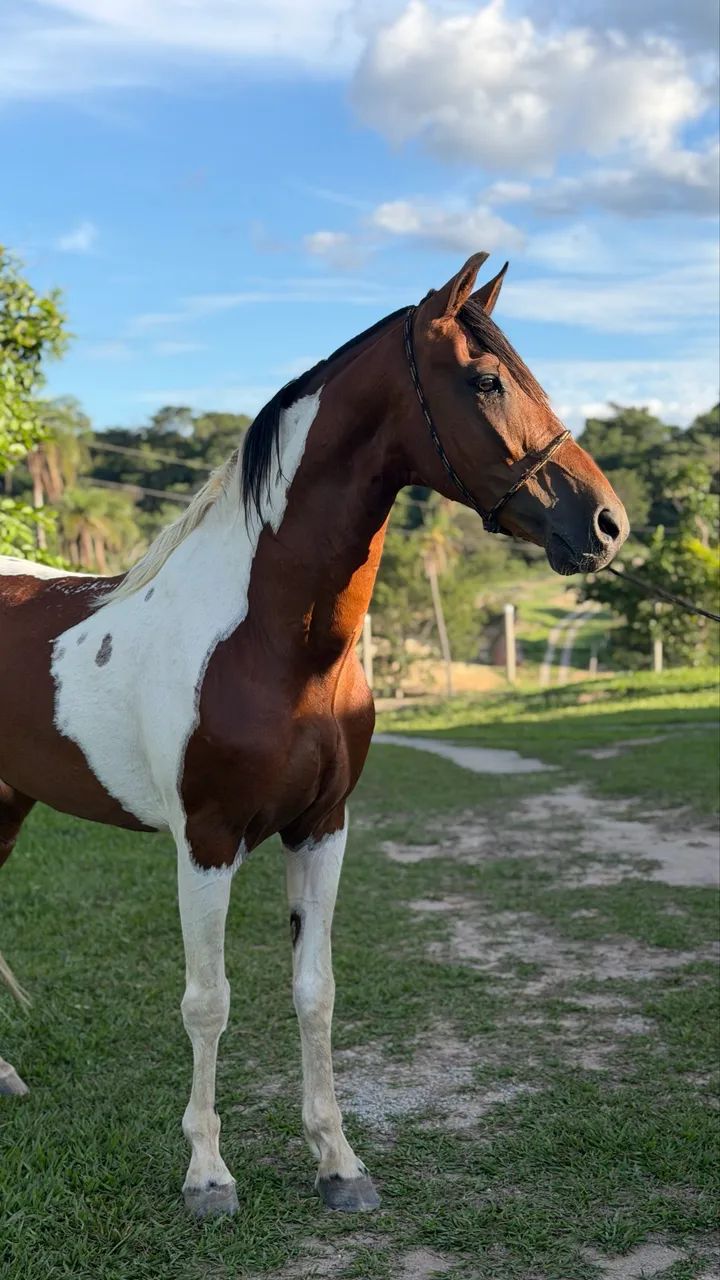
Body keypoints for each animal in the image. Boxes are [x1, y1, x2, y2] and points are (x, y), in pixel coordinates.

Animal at [0, 253, 628, 1217]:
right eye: (485, 381)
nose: (605, 524)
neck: (271, 642)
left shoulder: (323, 829)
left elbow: (315, 993)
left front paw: (339, 1163)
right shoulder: (207, 842)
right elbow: (208, 1001)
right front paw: (208, 1176)